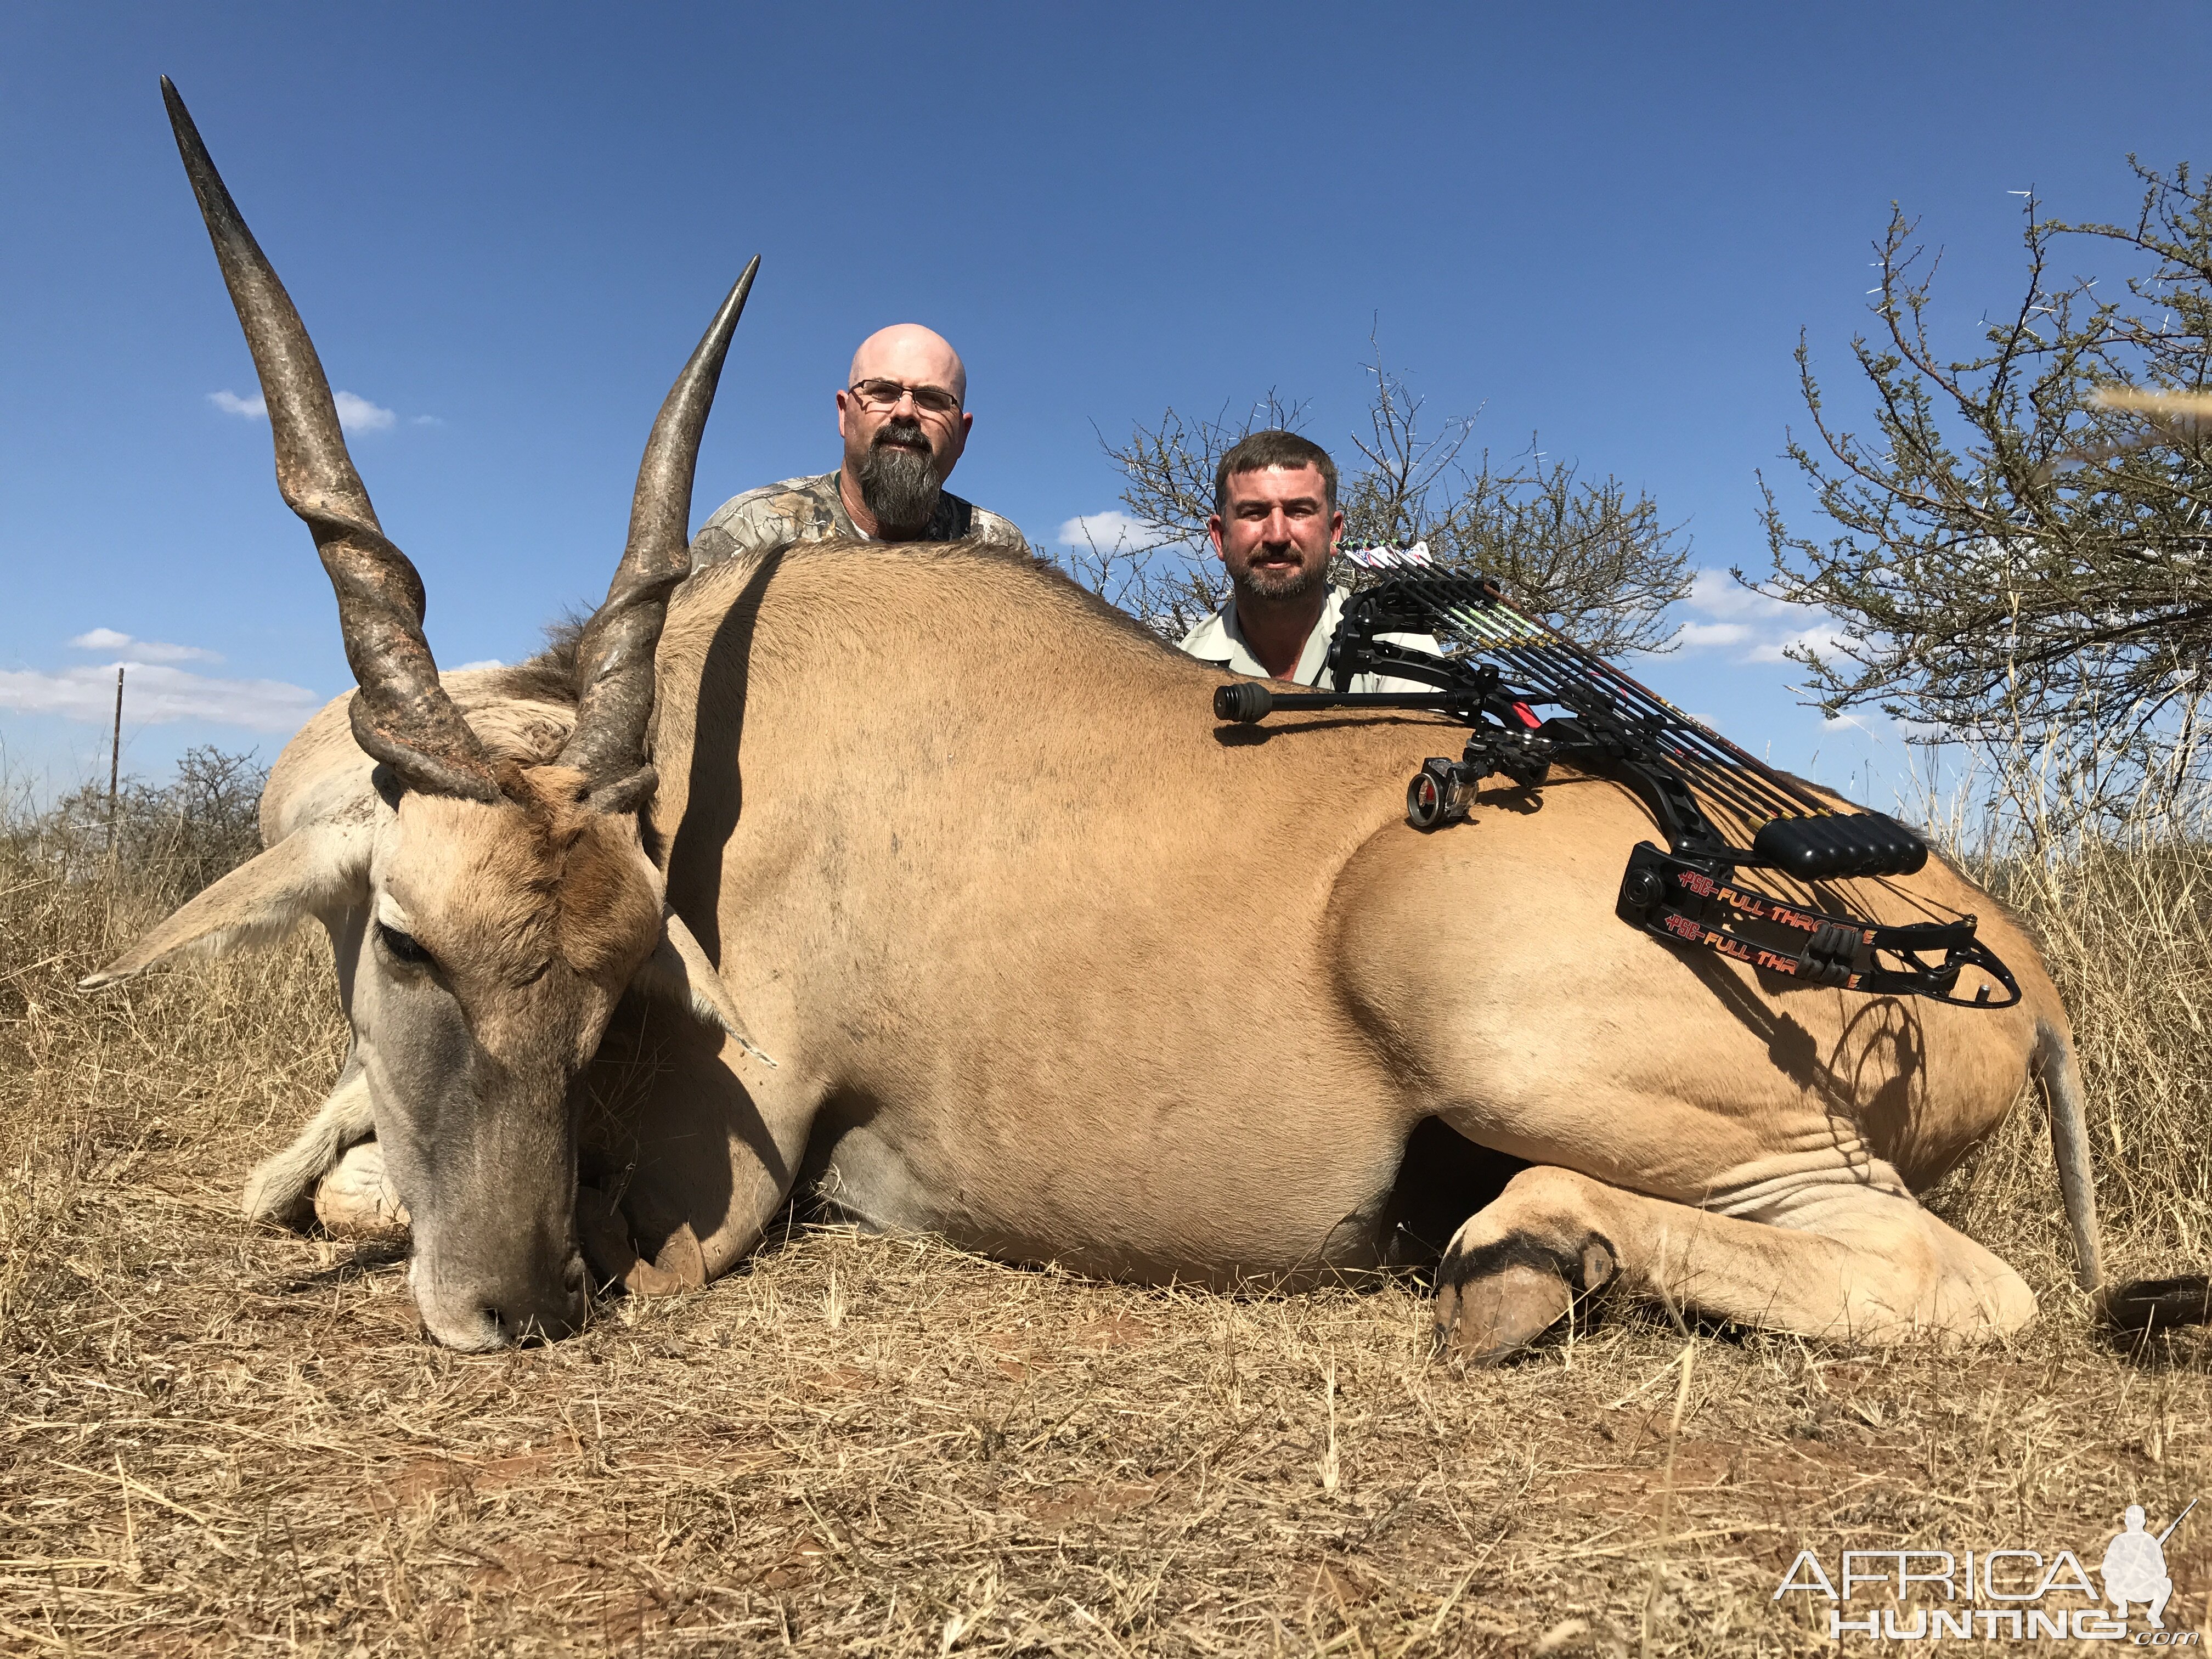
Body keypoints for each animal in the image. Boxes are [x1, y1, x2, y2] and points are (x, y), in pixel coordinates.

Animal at [82, 81, 2194, 1353]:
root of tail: (2013, 962)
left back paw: (1520, 1260)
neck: (721, 748)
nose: (513, 1301)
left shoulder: (723, 1177)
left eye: (612, 975)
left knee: (1952, 1276)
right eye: (407, 944)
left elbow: (369, 1189)